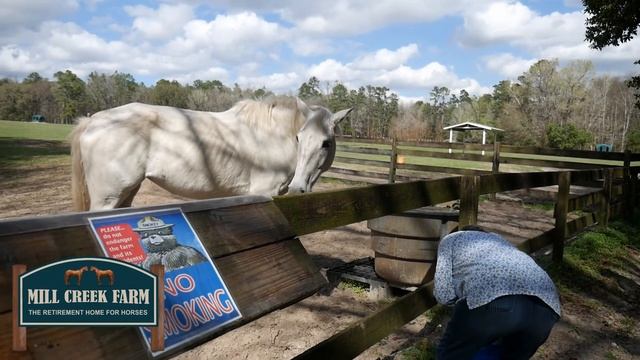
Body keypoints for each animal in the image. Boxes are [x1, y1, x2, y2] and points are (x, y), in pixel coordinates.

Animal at [72, 98, 352, 211]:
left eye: (326, 143)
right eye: (299, 138)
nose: (297, 189)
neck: (272, 136)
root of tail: (94, 120)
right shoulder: (262, 193)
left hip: (126, 193)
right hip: (106, 198)